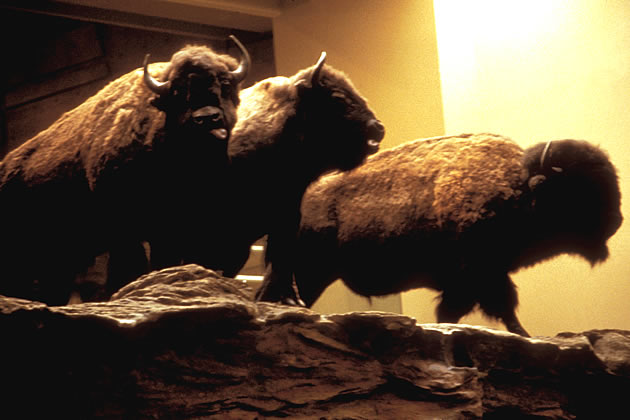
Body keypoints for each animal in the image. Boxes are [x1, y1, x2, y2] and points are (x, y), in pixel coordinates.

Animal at [0, 36, 252, 306]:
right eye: (177, 91)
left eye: (224, 83)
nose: (207, 117)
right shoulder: (125, 225)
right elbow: (132, 262)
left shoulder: (172, 226)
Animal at [276, 133, 624, 336]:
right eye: (581, 188)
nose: (617, 221)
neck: (517, 185)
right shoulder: (475, 275)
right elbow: (481, 307)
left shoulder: (484, 277)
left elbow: (488, 307)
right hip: (312, 269)